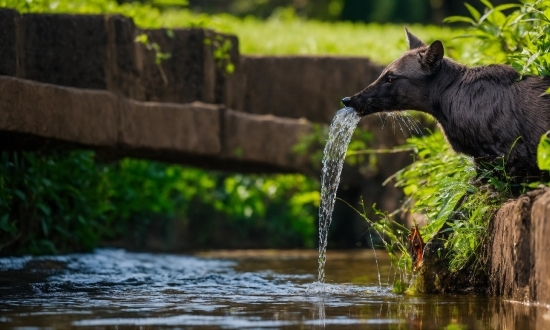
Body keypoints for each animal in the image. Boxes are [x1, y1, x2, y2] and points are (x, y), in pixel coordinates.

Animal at [344, 29, 550, 182]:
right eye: (383, 74)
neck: (444, 107)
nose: (347, 100)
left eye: (390, 78)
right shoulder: (482, 159)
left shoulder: (511, 155)